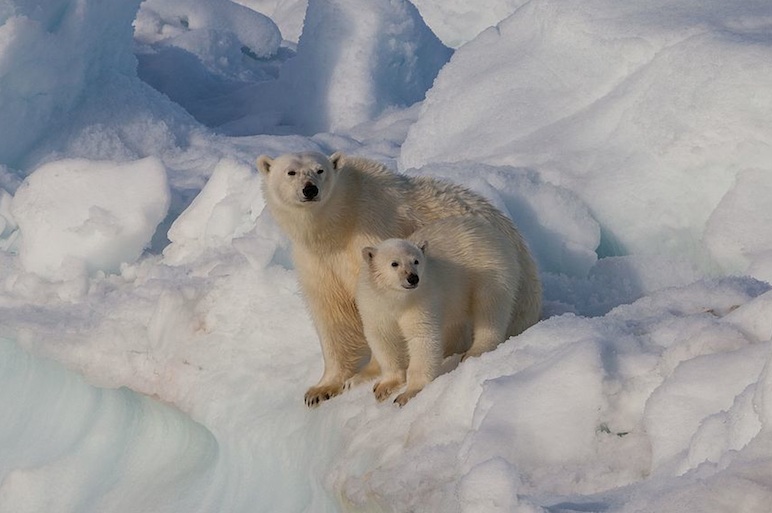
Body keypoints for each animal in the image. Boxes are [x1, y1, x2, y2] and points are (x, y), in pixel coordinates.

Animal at [358, 215, 528, 404]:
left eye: (416, 261)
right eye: (394, 263)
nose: (413, 278)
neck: (396, 299)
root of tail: (497, 235)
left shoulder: (421, 301)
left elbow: (422, 338)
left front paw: (407, 394)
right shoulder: (374, 306)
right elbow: (383, 339)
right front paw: (383, 387)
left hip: (491, 271)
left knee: (490, 309)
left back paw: (474, 351)